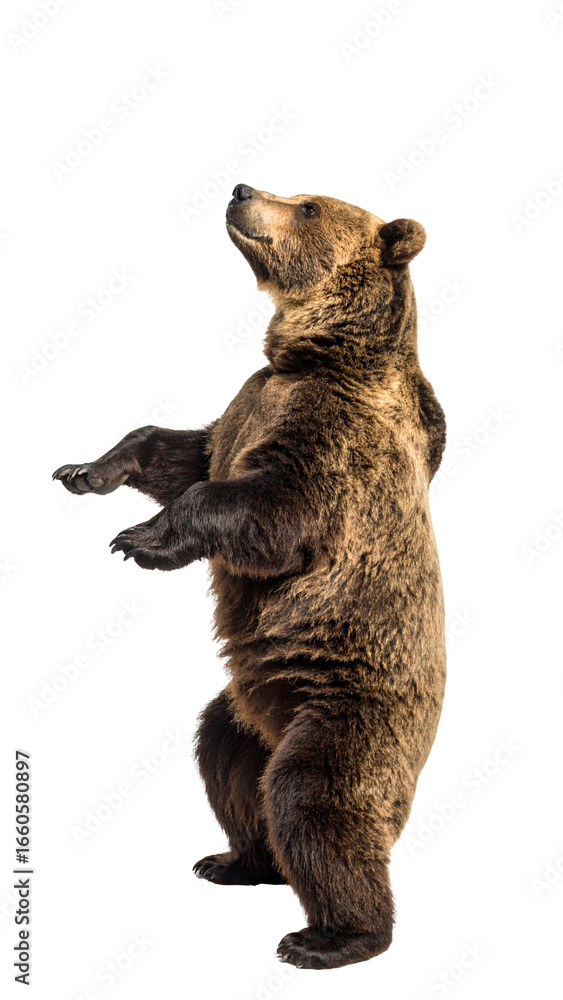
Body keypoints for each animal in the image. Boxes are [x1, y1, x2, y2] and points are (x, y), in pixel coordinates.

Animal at [53, 184, 447, 970]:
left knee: (313, 801)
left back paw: (330, 937)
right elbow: (180, 450)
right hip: (245, 716)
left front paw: (139, 540)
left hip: (347, 714)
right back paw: (234, 861)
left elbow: (259, 509)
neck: (312, 356)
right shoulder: (249, 405)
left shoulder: (334, 444)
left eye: (309, 206)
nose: (240, 190)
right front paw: (84, 470)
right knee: (227, 767)